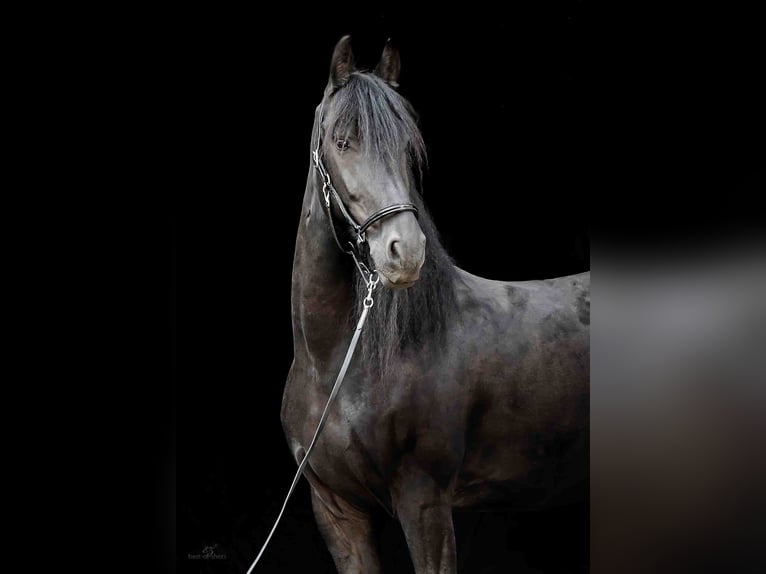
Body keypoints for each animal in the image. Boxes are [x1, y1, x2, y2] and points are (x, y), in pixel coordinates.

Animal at [280, 36, 589, 573]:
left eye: (408, 148)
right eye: (341, 142)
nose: (404, 251)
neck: (334, 365)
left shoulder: (423, 500)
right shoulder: (336, 510)